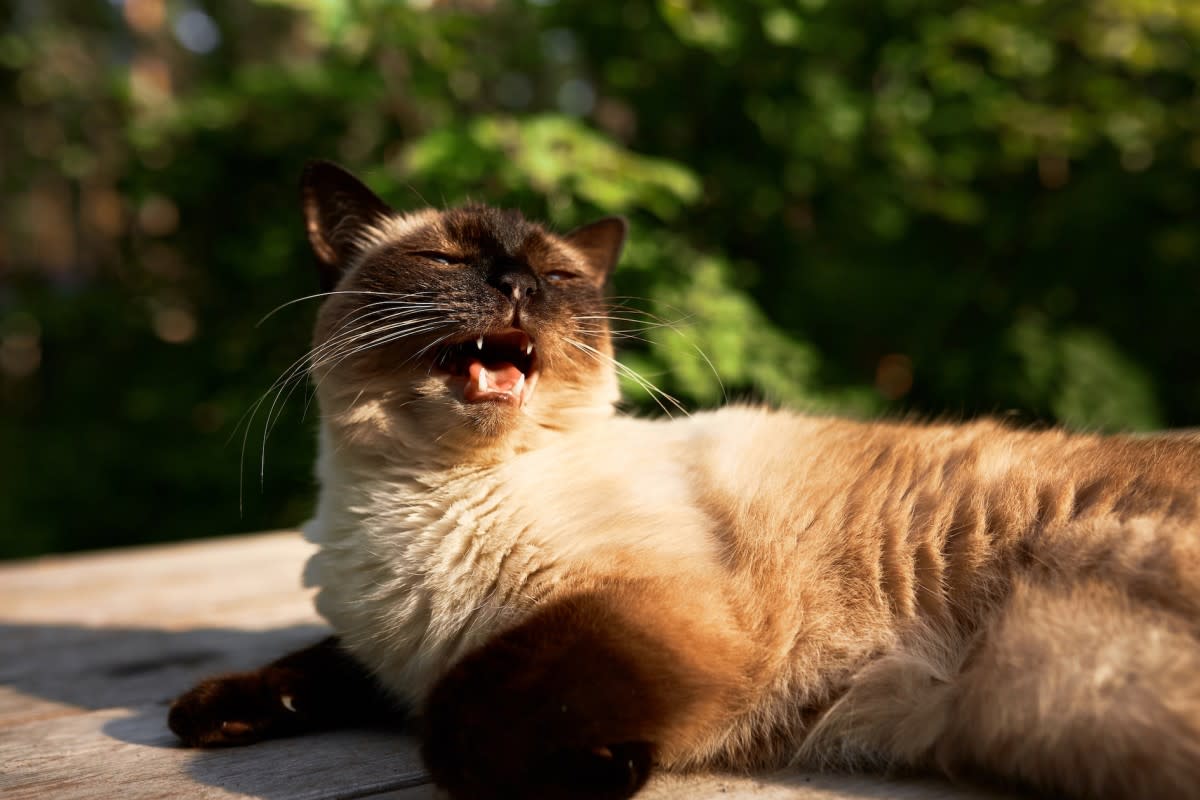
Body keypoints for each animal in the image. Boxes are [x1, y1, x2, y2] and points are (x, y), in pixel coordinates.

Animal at [169, 160, 1200, 800]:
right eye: (448, 259)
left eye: (553, 276)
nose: (514, 286)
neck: (418, 497)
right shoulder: (402, 642)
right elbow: (328, 662)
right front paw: (207, 712)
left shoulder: (650, 612)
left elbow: (456, 717)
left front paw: (607, 768)